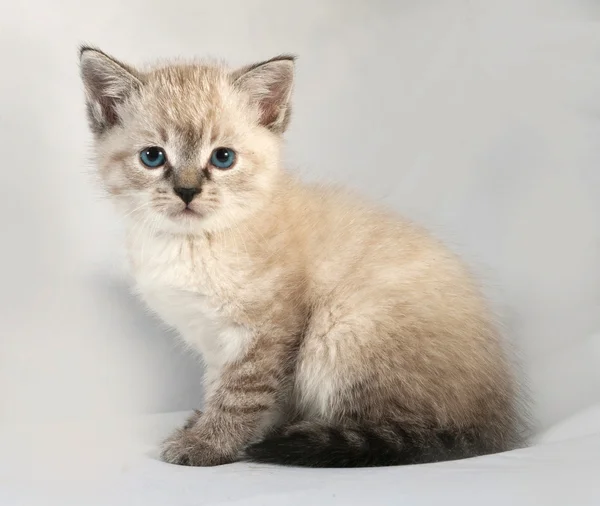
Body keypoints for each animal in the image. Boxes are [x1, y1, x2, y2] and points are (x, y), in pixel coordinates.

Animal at [78, 46, 524, 466]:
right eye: (153, 157)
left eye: (223, 158)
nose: (187, 191)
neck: (191, 243)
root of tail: (497, 425)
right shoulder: (218, 341)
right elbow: (224, 387)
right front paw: (204, 426)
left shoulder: (267, 333)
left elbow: (242, 397)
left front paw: (209, 444)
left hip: (342, 328)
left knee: (400, 430)